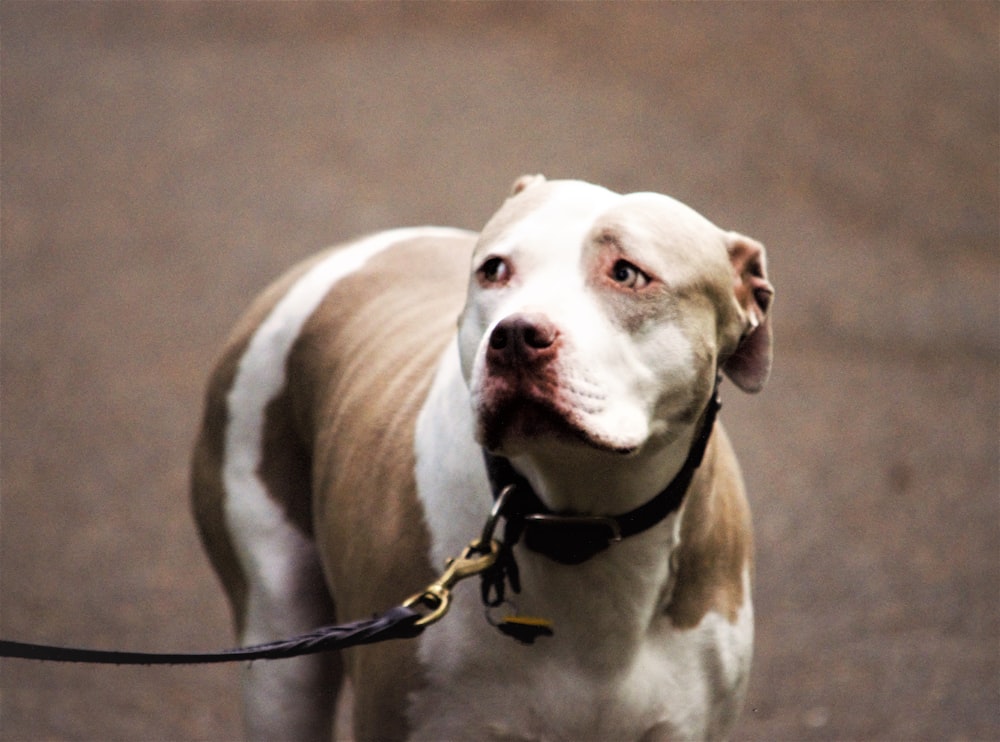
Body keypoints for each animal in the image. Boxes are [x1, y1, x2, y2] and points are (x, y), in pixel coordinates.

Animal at [191, 176, 776, 742]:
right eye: (494, 269)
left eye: (628, 274)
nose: (515, 334)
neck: (578, 520)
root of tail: (351, 250)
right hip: (280, 648)